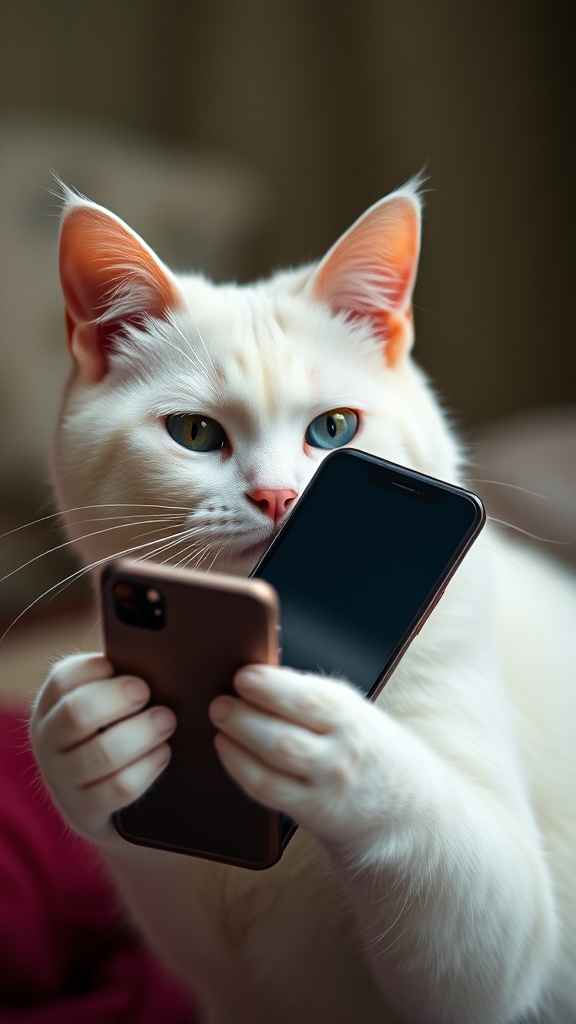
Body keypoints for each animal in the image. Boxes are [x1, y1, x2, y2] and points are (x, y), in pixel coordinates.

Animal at [30, 184, 573, 1024]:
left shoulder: (502, 943)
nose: (279, 496)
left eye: (335, 428)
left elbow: (475, 924)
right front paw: (80, 732)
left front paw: (332, 736)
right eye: (195, 432)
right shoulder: (216, 971)